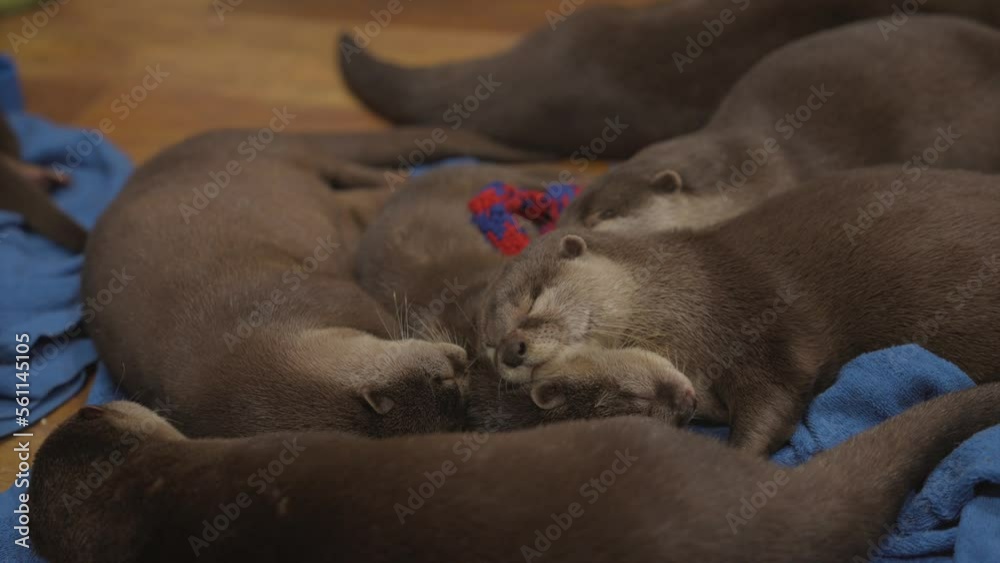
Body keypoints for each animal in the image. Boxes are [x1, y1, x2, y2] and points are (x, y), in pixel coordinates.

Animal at [480, 167, 1000, 453]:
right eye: (491, 337)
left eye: (533, 297)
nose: (510, 348)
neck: (693, 294)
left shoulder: (764, 331)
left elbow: (775, 398)